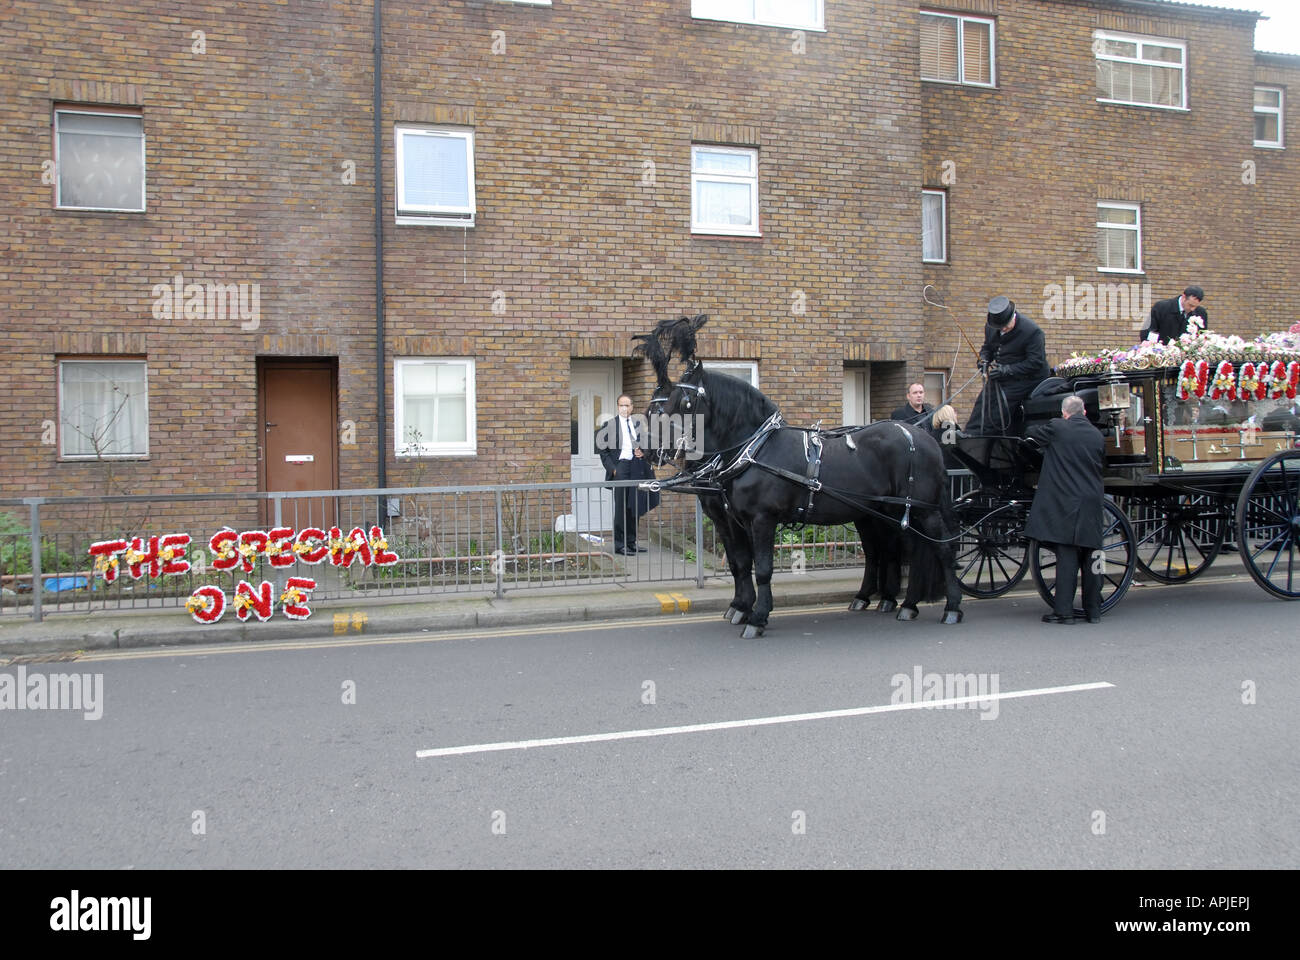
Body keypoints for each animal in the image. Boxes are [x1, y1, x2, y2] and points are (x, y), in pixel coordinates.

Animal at [642, 317, 967, 640]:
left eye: (682, 402)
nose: (648, 449)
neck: (754, 449)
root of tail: (923, 436)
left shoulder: (761, 518)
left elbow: (762, 569)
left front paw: (757, 617)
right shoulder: (733, 519)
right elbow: (740, 563)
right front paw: (741, 607)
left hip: (921, 510)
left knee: (940, 548)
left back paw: (950, 607)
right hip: (884, 511)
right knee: (894, 550)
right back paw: (900, 603)